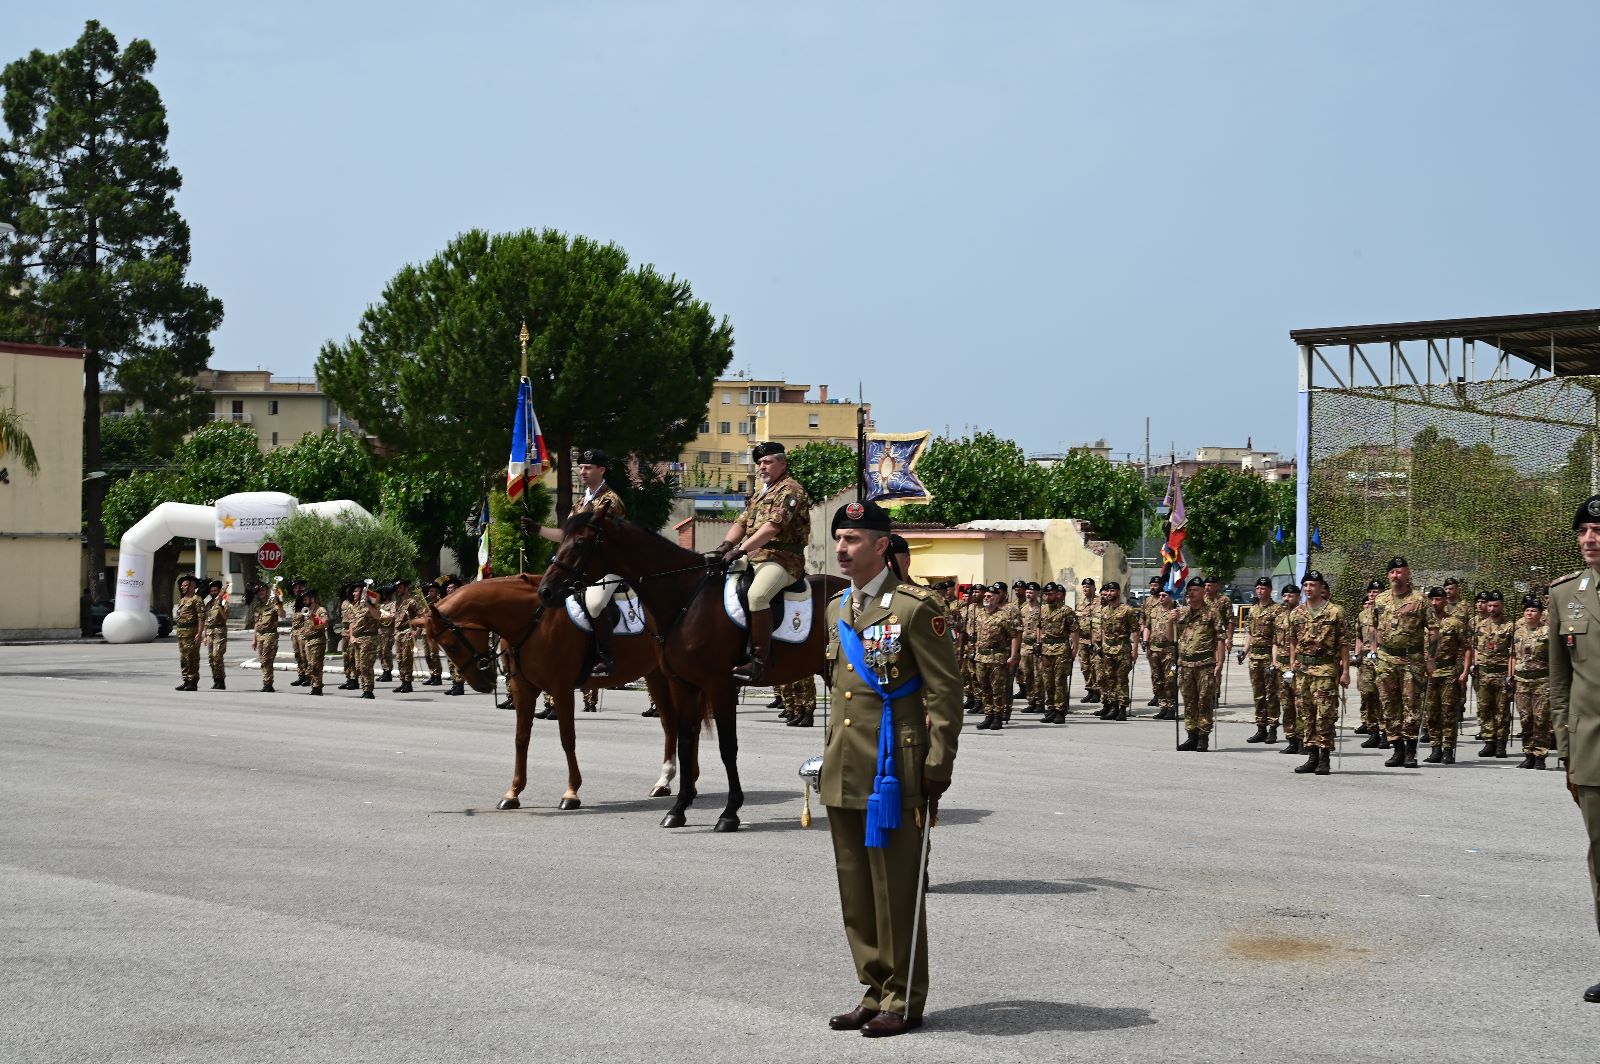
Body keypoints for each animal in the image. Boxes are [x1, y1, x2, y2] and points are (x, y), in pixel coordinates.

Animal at [409, 576, 678, 809]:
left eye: (451, 644)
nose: (483, 684)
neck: (531, 621)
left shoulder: (561, 687)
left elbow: (567, 738)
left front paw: (571, 792)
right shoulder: (523, 688)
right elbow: (521, 739)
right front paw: (513, 793)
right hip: (655, 674)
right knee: (669, 724)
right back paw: (664, 782)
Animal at [540, 512, 851, 832]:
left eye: (580, 542)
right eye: (561, 539)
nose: (546, 591)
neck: (686, 598)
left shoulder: (720, 686)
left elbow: (727, 747)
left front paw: (729, 813)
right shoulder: (683, 685)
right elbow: (685, 741)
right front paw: (678, 809)